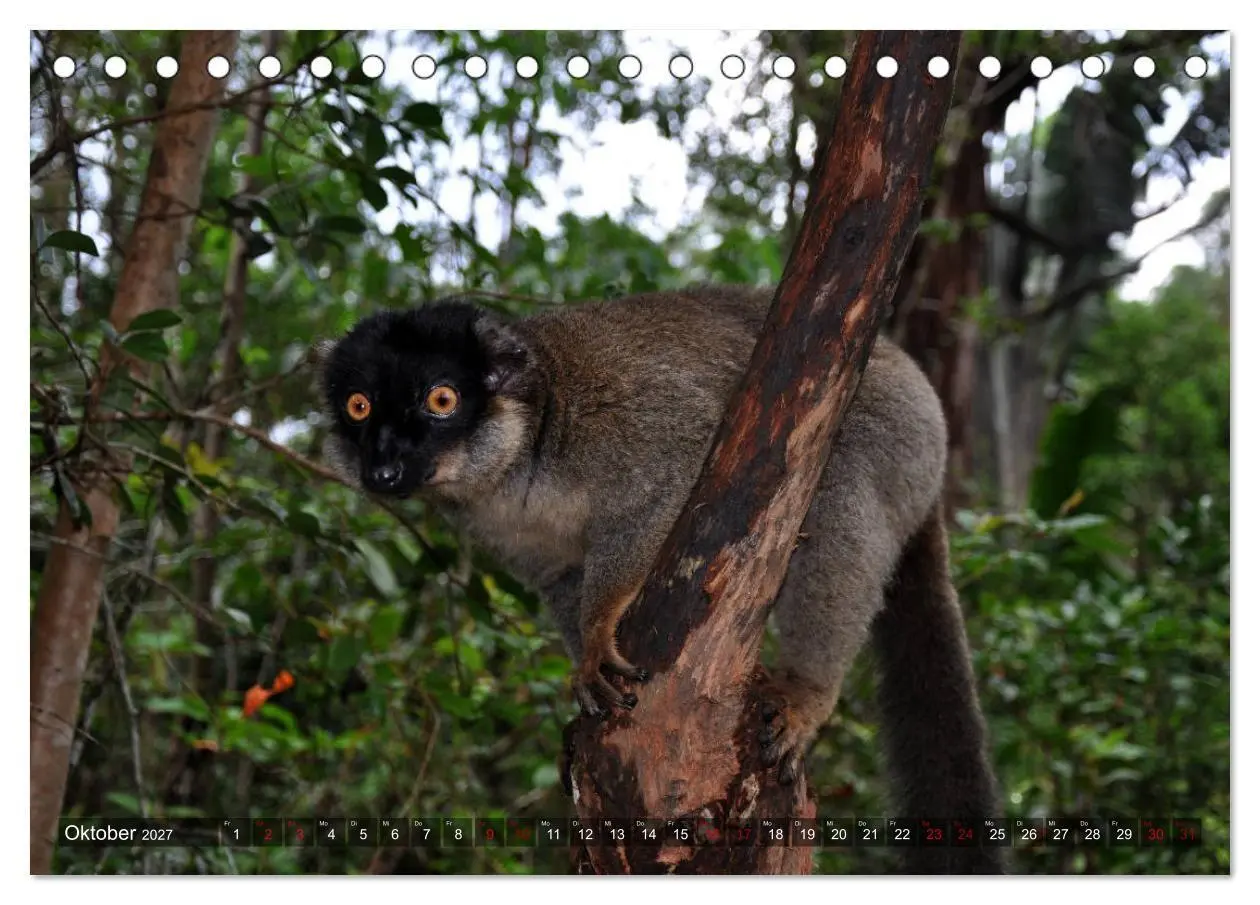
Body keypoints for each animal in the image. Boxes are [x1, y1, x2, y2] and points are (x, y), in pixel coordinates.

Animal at [317, 285, 1004, 873]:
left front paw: (599, 635)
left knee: (837, 495)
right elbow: (563, 577)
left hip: (898, 430)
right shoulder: (505, 531)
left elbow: (682, 463)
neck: (521, 463)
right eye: (359, 408)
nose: (381, 468)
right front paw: (583, 703)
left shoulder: (618, 413)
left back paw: (808, 691)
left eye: (441, 400)